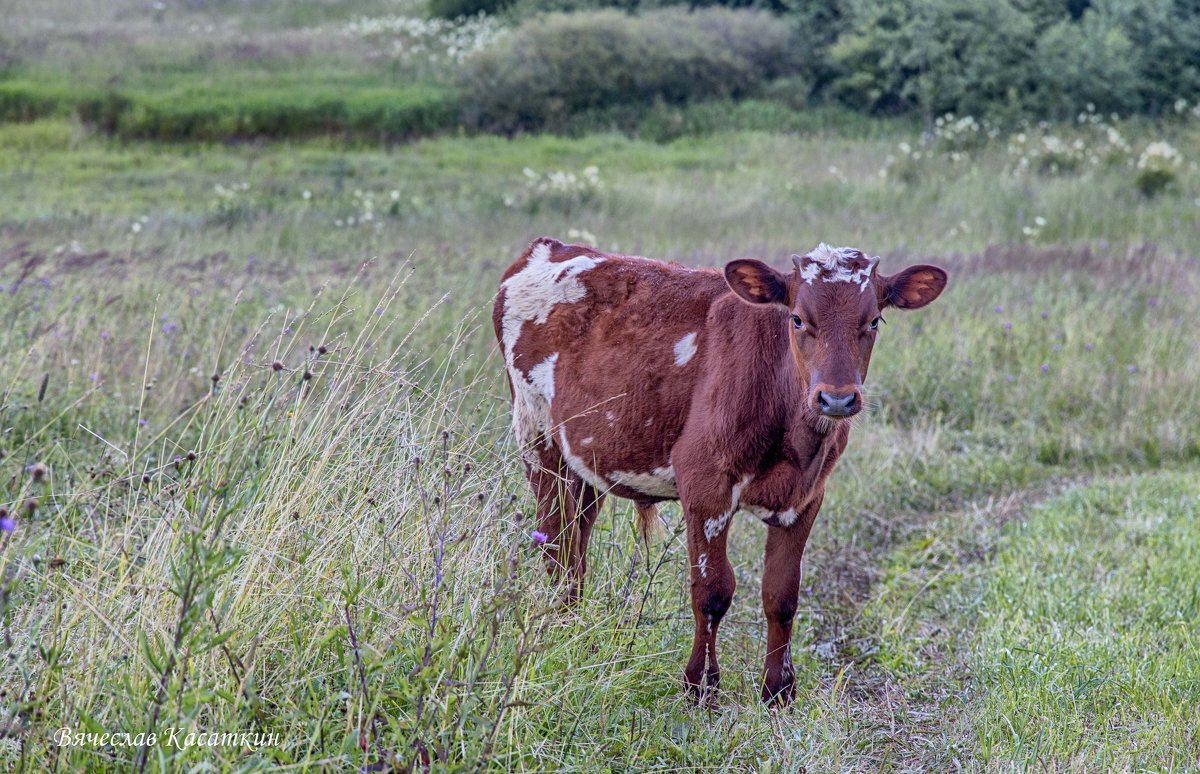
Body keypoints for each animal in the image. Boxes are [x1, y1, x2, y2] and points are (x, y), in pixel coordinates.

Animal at [492, 238, 940, 705]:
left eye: (873, 321)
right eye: (798, 318)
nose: (836, 399)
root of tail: (550, 248)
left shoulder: (808, 496)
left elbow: (782, 594)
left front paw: (778, 690)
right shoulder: (706, 487)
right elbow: (712, 591)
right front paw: (701, 686)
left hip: (585, 460)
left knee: (575, 547)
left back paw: (577, 632)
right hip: (537, 440)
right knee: (556, 545)